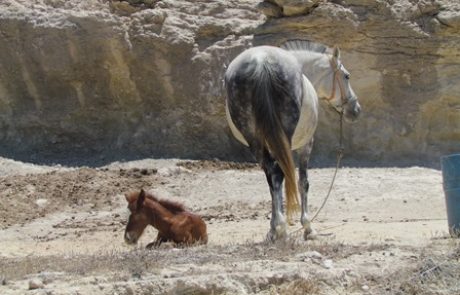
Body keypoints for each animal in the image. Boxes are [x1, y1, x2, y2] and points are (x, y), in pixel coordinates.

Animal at [225, 40, 362, 243]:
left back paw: (277, 228)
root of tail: (262, 62)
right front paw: (308, 227)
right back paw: (282, 227)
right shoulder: (306, 145)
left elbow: (274, 185)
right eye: (347, 76)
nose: (356, 109)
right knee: (281, 174)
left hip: (255, 141)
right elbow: (302, 181)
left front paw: (272, 228)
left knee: (273, 174)